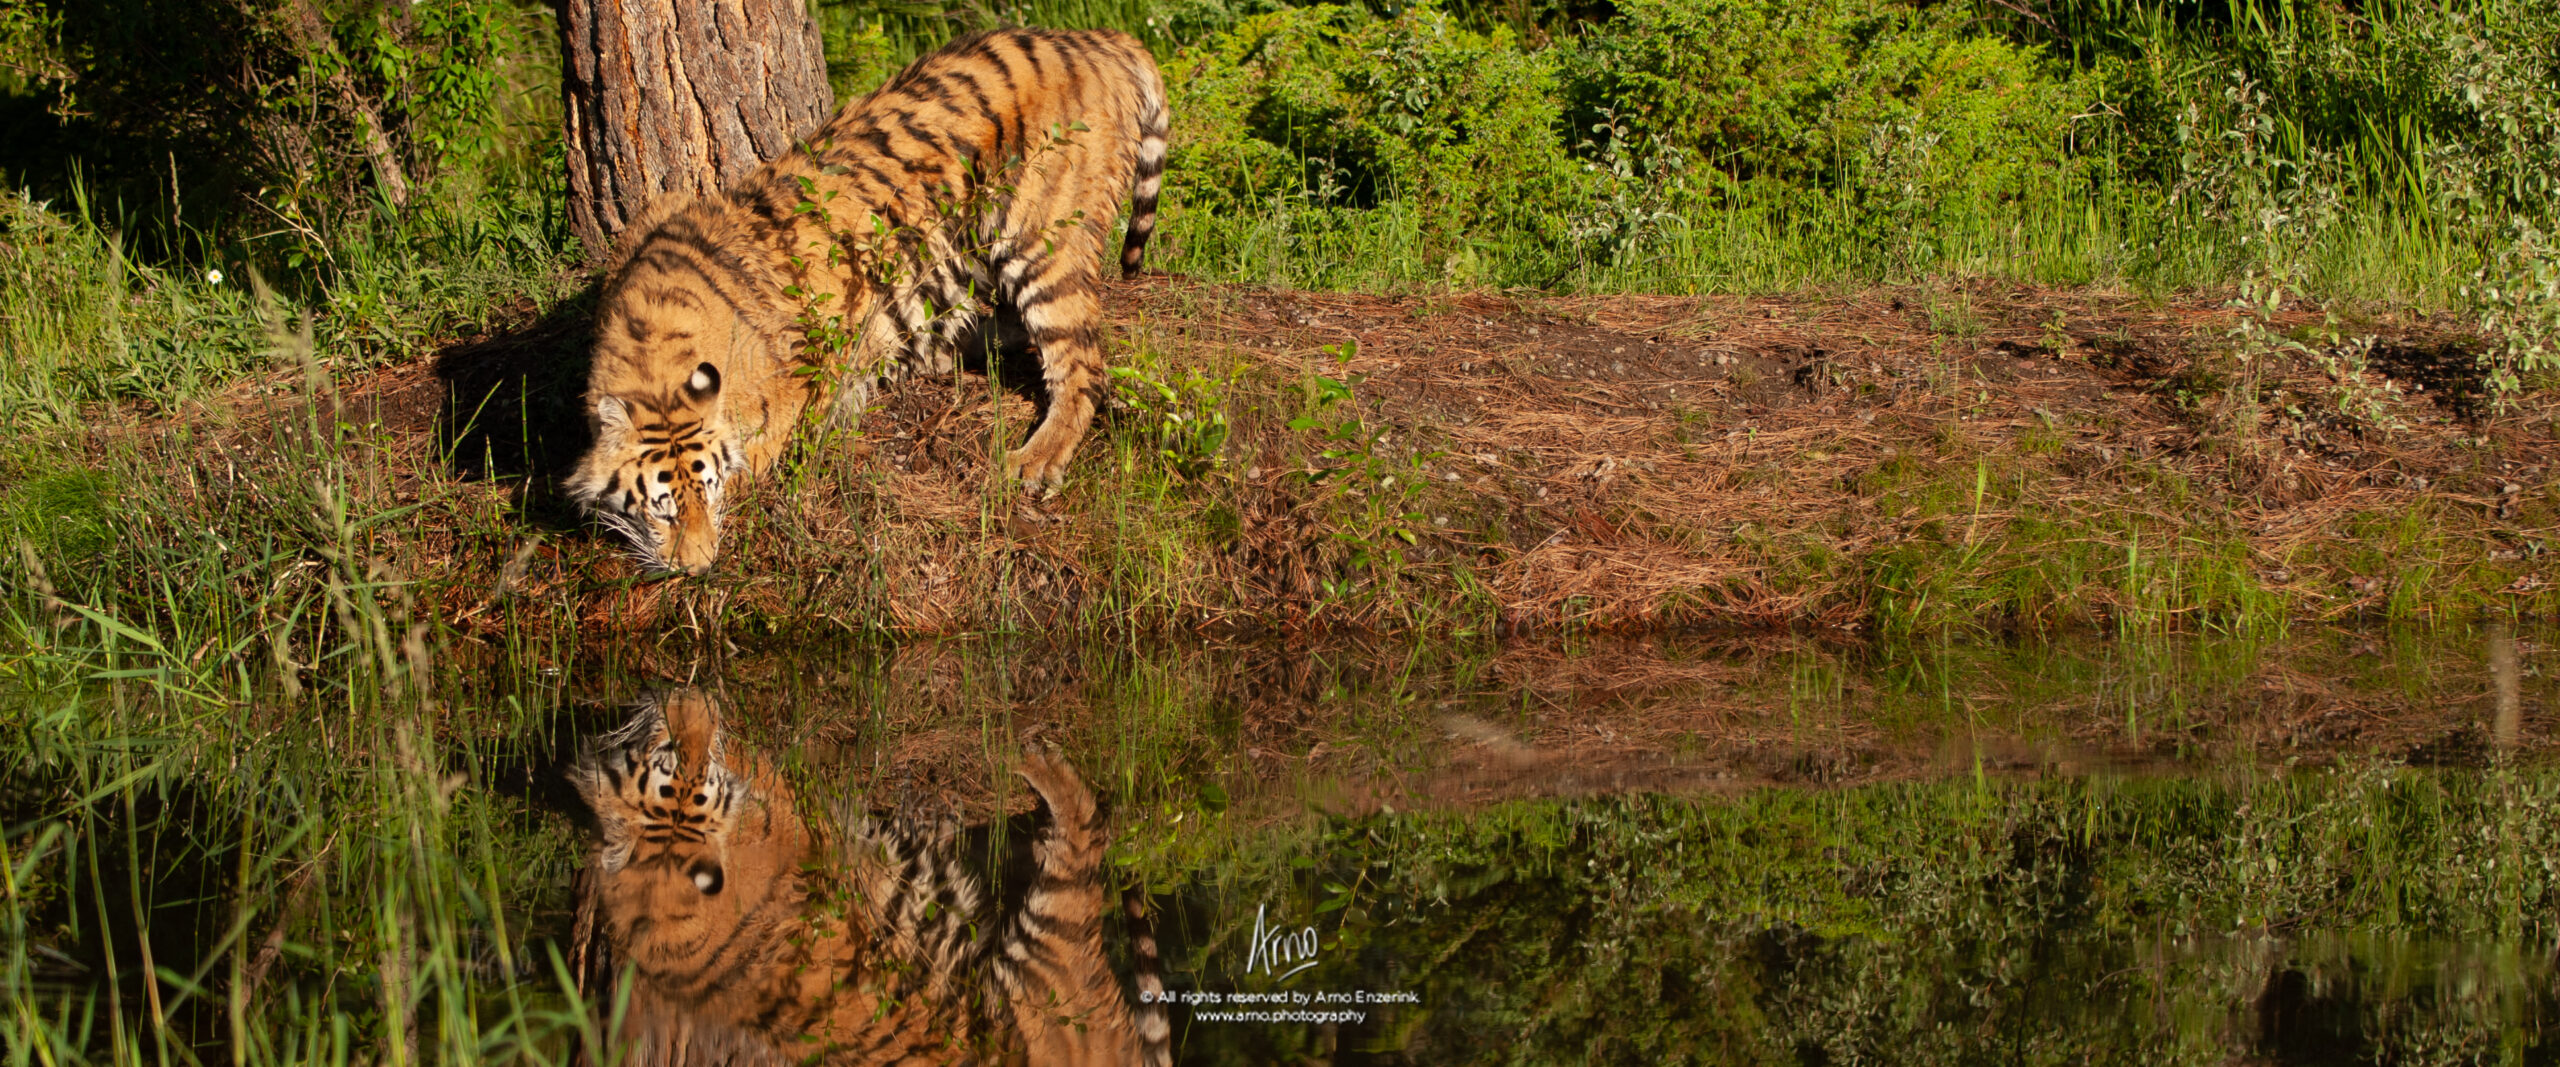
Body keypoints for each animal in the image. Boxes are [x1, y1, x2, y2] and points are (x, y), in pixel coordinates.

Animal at [563, 28, 1170, 576]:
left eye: (706, 492)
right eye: (662, 511)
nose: (696, 568)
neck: (655, 338)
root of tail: (1100, 38)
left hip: (1042, 234)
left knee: (1083, 365)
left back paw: (1031, 463)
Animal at [568, 689, 1174, 1066]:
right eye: (672, 754)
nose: (686, 695)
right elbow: (765, 768)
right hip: (1052, 954)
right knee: (1085, 826)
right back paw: (1026, 758)